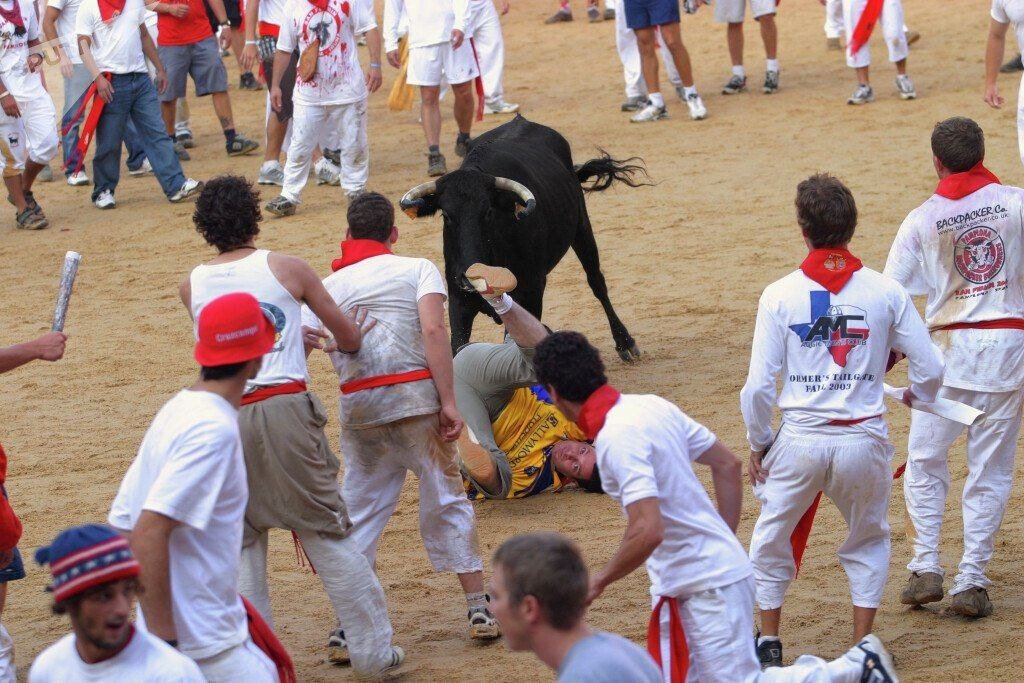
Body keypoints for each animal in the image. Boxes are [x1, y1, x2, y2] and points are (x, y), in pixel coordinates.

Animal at [401, 116, 647, 362]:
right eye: (446, 215)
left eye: (488, 212)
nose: (471, 278)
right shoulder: (458, 300)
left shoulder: (531, 292)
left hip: (581, 227)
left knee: (596, 281)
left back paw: (625, 342)